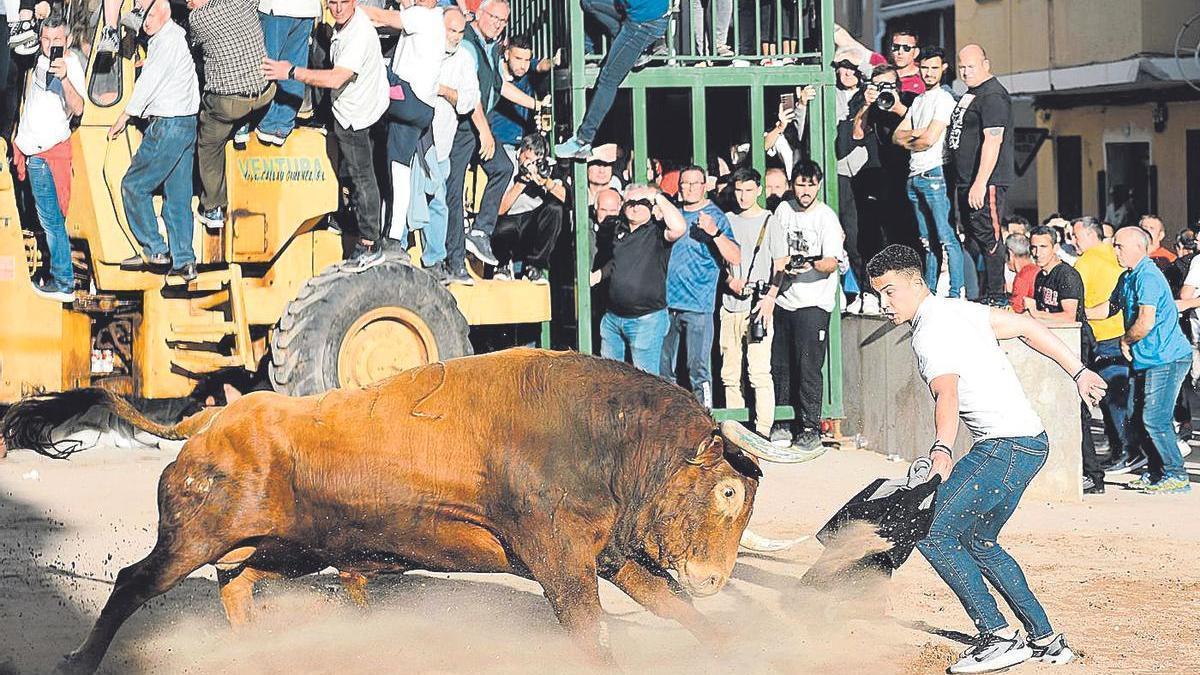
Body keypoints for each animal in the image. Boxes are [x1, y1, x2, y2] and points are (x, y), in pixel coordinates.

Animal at [0, 345, 820, 667]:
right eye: (728, 491)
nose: (716, 578)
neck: (605, 438)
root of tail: (213, 419)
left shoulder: (611, 558)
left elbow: (674, 610)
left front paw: (738, 647)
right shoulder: (562, 564)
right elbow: (594, 636)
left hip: (282, 547)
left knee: (236, 586)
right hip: (192, 539)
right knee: (136, 583)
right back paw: (79, 659)